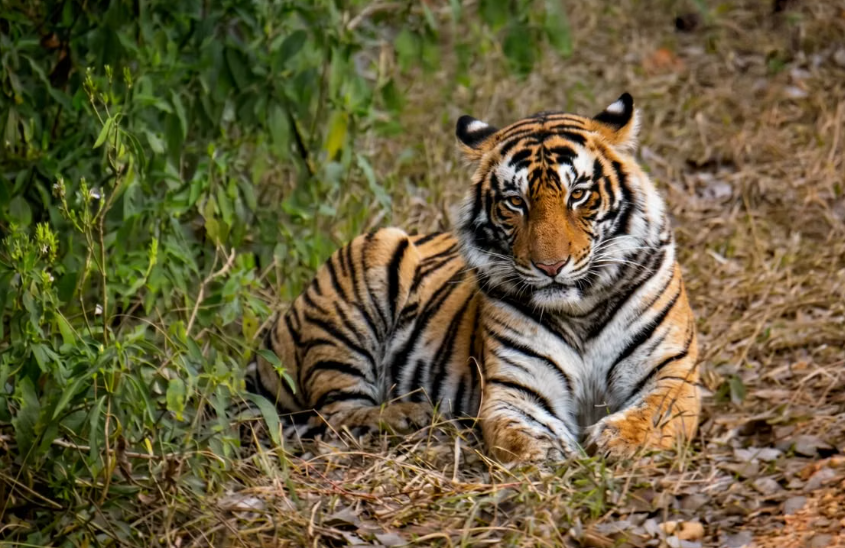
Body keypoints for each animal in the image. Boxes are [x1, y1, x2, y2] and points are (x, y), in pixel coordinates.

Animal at [248, 93, 701, 462]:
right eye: (515, 202)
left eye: (578, 195)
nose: (550, 267)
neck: (580, 310)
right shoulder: (514, 388)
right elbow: (520, 433)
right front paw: (553, 455)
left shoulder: (672, 371)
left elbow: (653, 413)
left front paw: (615, 442)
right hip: (369, 262)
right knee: (336, 414)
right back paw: (409, 414)